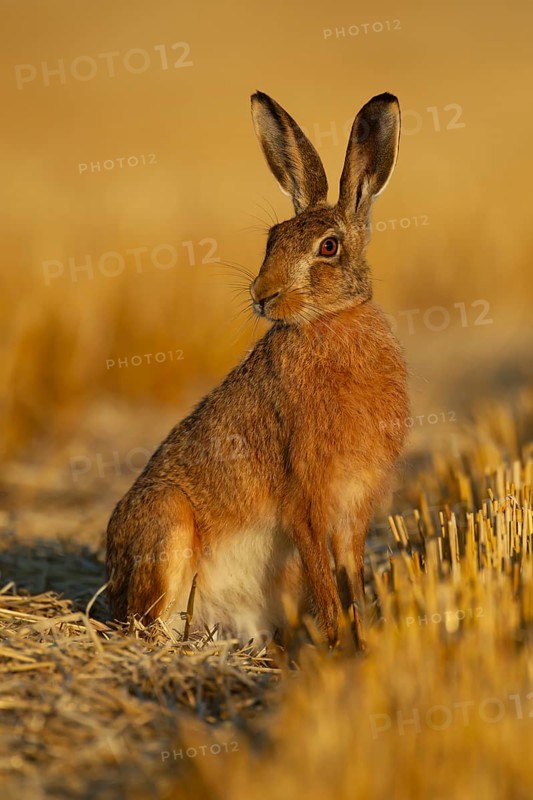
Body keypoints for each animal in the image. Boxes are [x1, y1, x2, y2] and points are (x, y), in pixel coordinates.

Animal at [105, 90, 409, 647]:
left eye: (328, 247)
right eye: (272, 238)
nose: (262, 295)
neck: (328, 320)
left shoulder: (352, 508)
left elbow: (351, 579)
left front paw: (365, 643)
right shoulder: (305, 500)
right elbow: (326, 587)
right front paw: (338, 647)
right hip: (167, 525)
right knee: (147, 625)